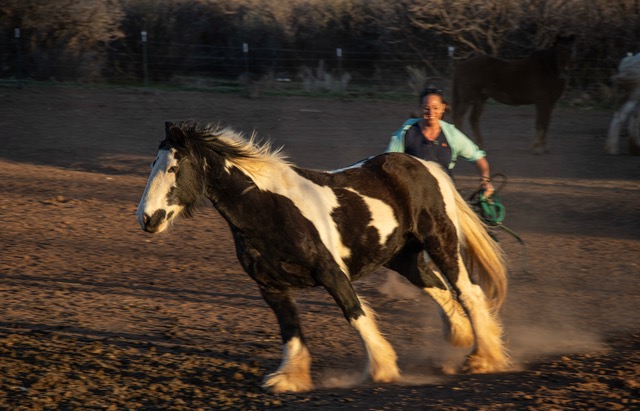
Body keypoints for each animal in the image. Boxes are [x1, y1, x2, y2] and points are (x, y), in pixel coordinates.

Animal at [136, 120, 510, 393]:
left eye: (174, 168)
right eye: (153, 163)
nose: (147, 218)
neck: (269, 210)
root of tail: (426, 166)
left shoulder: (332, 273)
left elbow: (355, 314)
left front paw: (382, 369)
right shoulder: (271, 287)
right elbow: (291, 330)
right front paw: (288, 379)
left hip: (441, 241)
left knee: (469, 292)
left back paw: (485, 359)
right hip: (403, 258)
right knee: (438, 288)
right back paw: (461, 340)